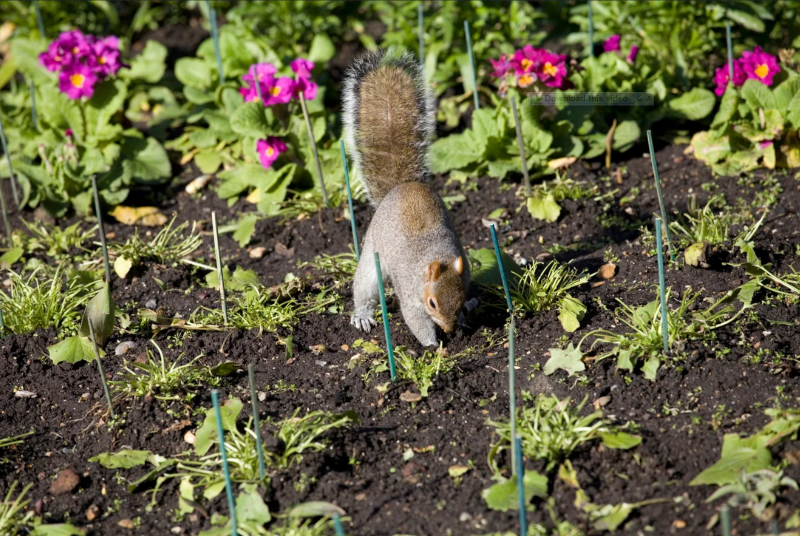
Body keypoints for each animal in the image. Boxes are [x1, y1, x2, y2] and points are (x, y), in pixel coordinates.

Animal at [342, 49, 468, 348]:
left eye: (461, 298)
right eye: (432, 303)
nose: (448, 329)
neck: (436, 256)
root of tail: (402, 186)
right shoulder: (410, 294)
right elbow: (415, 319)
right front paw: (433, 345)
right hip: (371, 259)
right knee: (364, 288)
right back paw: (362, 315)